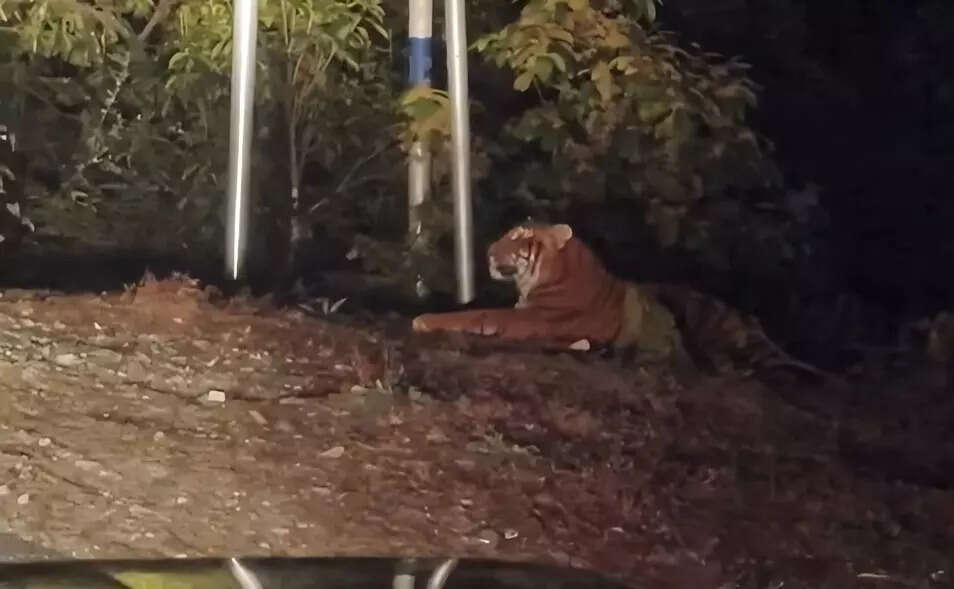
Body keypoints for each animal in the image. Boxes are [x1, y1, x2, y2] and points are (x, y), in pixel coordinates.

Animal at [411, 222, 830, 379]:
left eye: (519, 237)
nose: (486, 251)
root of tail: (749, 319)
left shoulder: (528, 318)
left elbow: (475, 314)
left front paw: (424, 319)